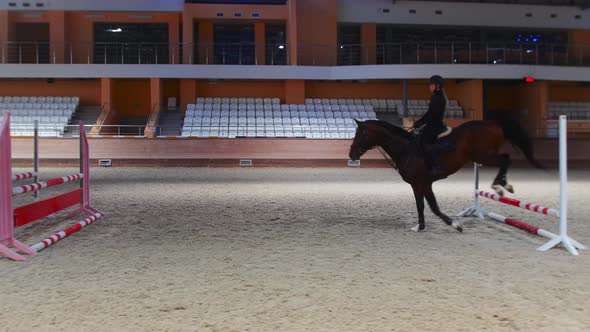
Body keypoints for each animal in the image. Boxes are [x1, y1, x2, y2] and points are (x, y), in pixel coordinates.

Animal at [352, 115, 544, 232]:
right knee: (506, 159)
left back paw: (501, 185)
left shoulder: (422, 183)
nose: (351, 154)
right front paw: (421, 226)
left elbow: (431, 206)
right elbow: (424, 205)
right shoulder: (419, 184)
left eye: (361, 134)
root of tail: (492, 123)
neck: (406, 149)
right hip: (483, 156)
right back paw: (502, 185)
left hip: (484, 156)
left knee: (506, 160)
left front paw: (454, 224)